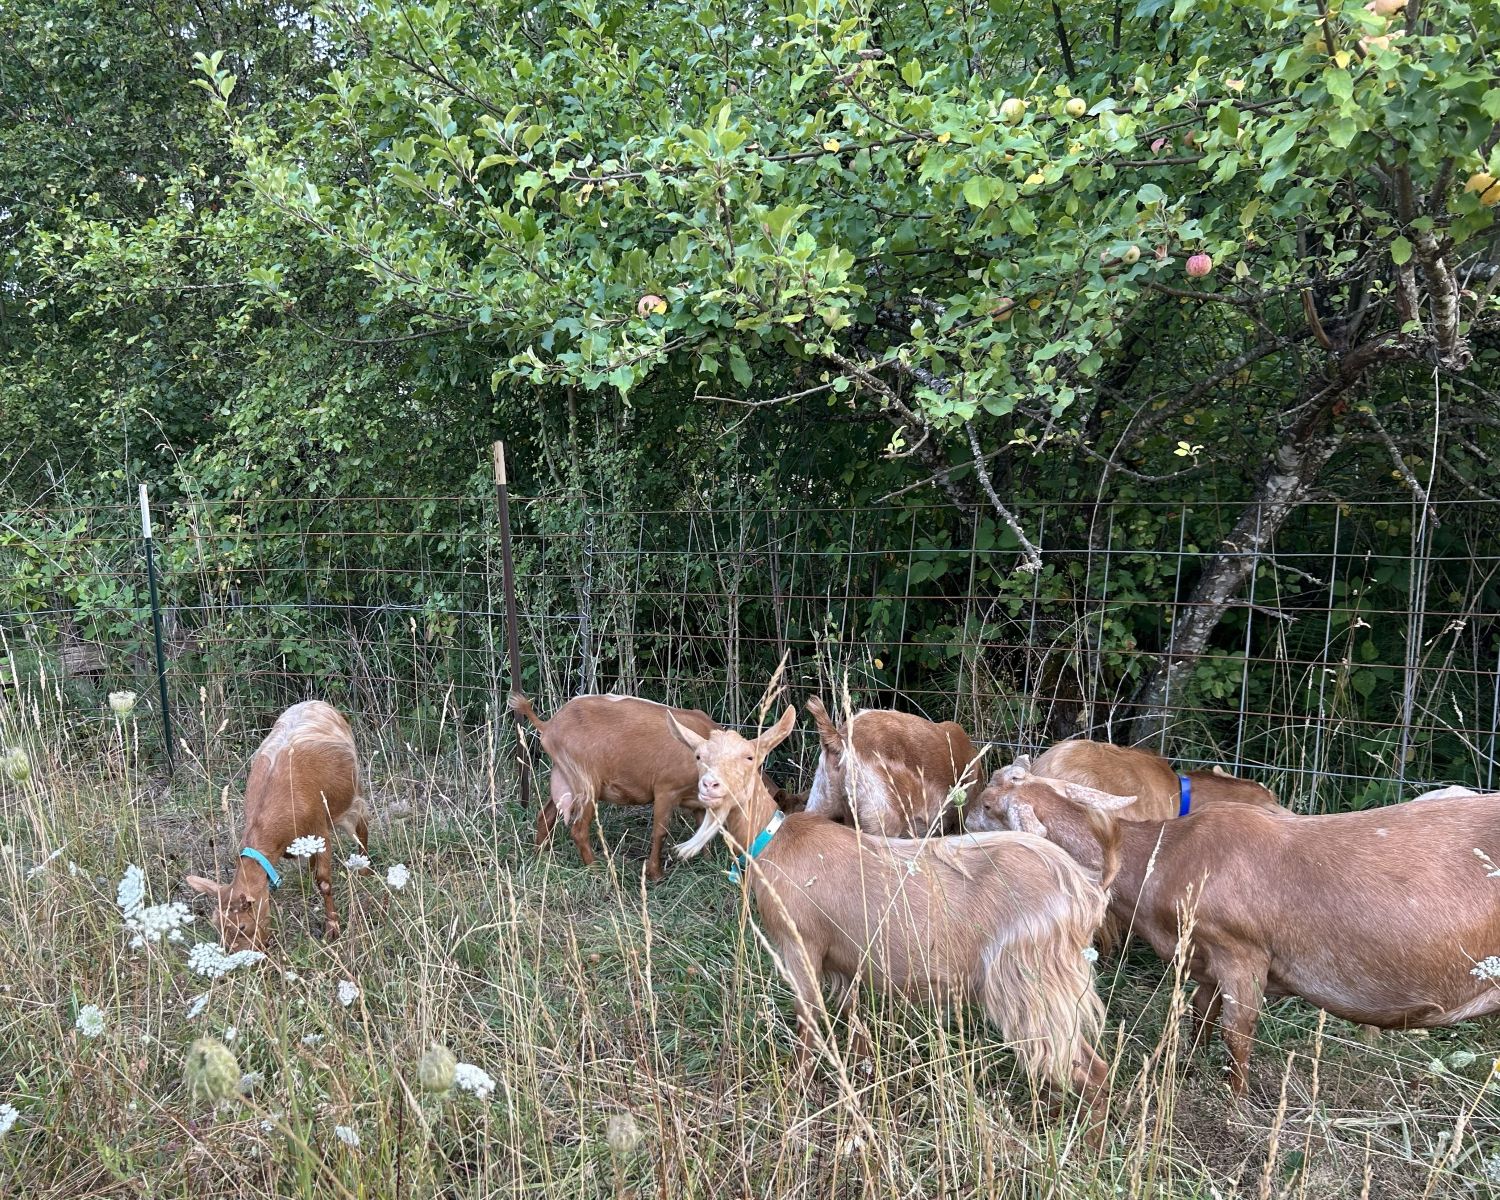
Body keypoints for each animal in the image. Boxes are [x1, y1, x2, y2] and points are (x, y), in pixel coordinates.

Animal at [186, 700, 368, 951]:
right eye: (217, 925)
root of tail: (320, 704)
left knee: (362, 825)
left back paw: (365, 869)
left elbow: (324, 882)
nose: (238, 955)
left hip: (352, 794)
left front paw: (332, 927)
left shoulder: (320, 831)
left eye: (242, 926)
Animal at [510, 692, 795, 880]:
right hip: (586, 781)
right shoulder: (666, 789)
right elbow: (660, 832)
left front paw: (706, 862)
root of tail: (549, 725)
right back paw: (597, 869)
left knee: (545, 815)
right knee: (578, 828)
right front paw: (656, 874)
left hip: (564, 777)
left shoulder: (697, 801)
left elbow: (701, 828)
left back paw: (540, 856)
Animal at [967, 772, 1500, 1096]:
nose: (960, 819)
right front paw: (1186, 1069)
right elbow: (1200, 1015)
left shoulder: (1240, 951)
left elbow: (1236, 1031)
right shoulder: (1203, 957)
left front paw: (1235, 1099)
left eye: (990, 804)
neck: (1164, 855)